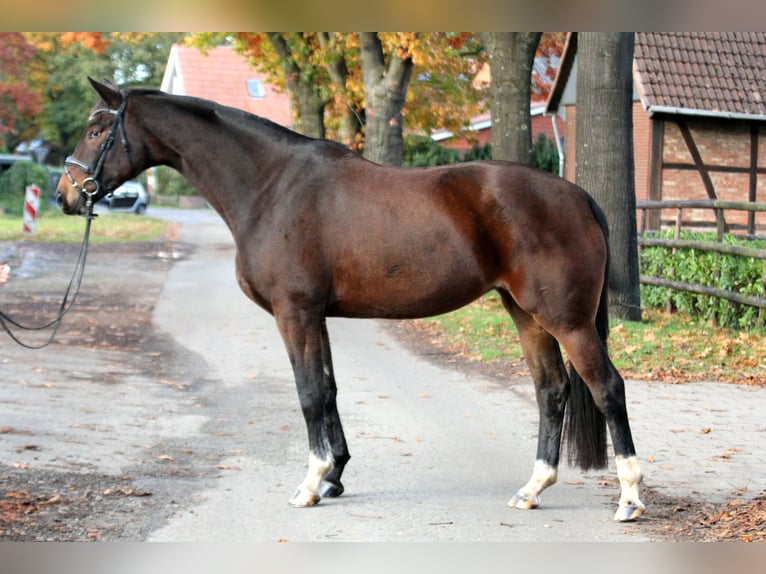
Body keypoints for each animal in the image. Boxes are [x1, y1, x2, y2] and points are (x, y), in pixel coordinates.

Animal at [54, 79, 644, 524]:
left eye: (96, 130)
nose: (65, 195)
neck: (271, 186)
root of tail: (577, 195)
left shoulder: (294, 313)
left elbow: (310, 393)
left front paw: (311, 483)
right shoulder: (315, 315)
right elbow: (330, 389)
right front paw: (335, 473)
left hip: (565, 320)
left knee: (607, 388)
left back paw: (630, 498)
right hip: (525, 314)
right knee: (552, 391)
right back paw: (533, 488)